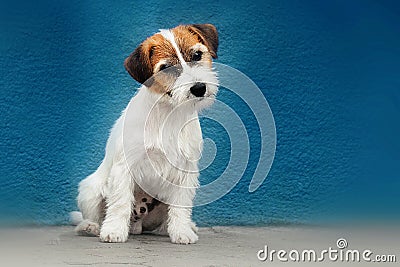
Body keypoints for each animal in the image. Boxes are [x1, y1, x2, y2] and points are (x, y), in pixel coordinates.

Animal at [73, 24, 220, 245]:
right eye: (166, 68)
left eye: (197, 55)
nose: (199, 88)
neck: (169, 111)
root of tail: (139, 225)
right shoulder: (124, 167)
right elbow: (120, 203)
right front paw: (114, 231)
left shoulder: (186, 170)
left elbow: (181, 206)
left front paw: (182, 231)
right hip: (90, 191)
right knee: (93, 215)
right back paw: (91, 226)